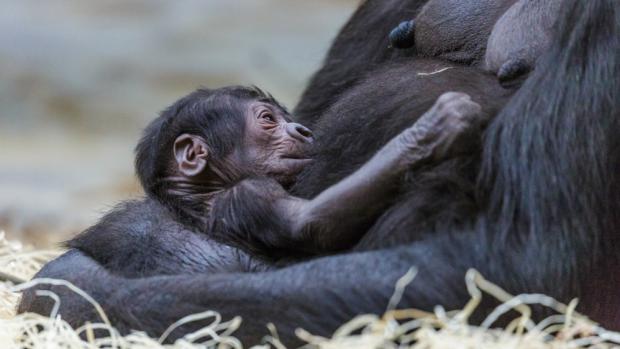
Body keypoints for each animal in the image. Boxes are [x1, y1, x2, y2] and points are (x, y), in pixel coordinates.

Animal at [69, 86, 484, 274]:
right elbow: (311, 223)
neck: (202, 195)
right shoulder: (251, 194)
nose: (302, 129)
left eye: (287, 118)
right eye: (268, 120)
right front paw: (431, 130)